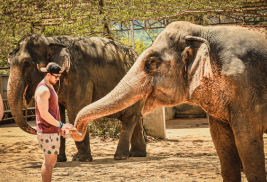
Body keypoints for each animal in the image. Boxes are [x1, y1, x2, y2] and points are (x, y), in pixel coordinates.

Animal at [7, 34, 147, 162]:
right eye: (9, 62)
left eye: (26, 63)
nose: (34, 130)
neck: (51, 40)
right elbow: (57, 113)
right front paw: (59, 159)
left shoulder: (80, 77)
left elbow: (76, 110)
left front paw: (81, 159)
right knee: (136, 119)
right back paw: (136, 154)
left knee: (129, 118)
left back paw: (120, 157)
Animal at [70, 21, 267, 181]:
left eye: (151, 62)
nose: (73, 129)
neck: (203, 31)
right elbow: (222, 143)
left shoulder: (244, 86)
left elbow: (247, 142)